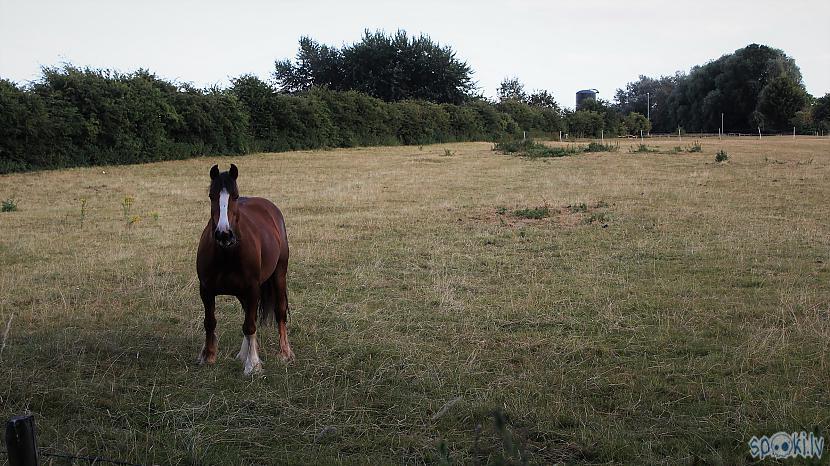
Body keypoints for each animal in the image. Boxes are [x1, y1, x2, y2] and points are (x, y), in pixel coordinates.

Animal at [197, 164, 296, 374]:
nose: (224, 234)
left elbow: (249, 326)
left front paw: (253, 364)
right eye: (211, 195)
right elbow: (210, 322)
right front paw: (208, 356)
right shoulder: (206, 290)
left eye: (235, 196)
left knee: (279, 312)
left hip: (279, 275)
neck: (227, 253)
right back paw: (243, 353)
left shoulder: (252, 289)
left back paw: (285, 352)